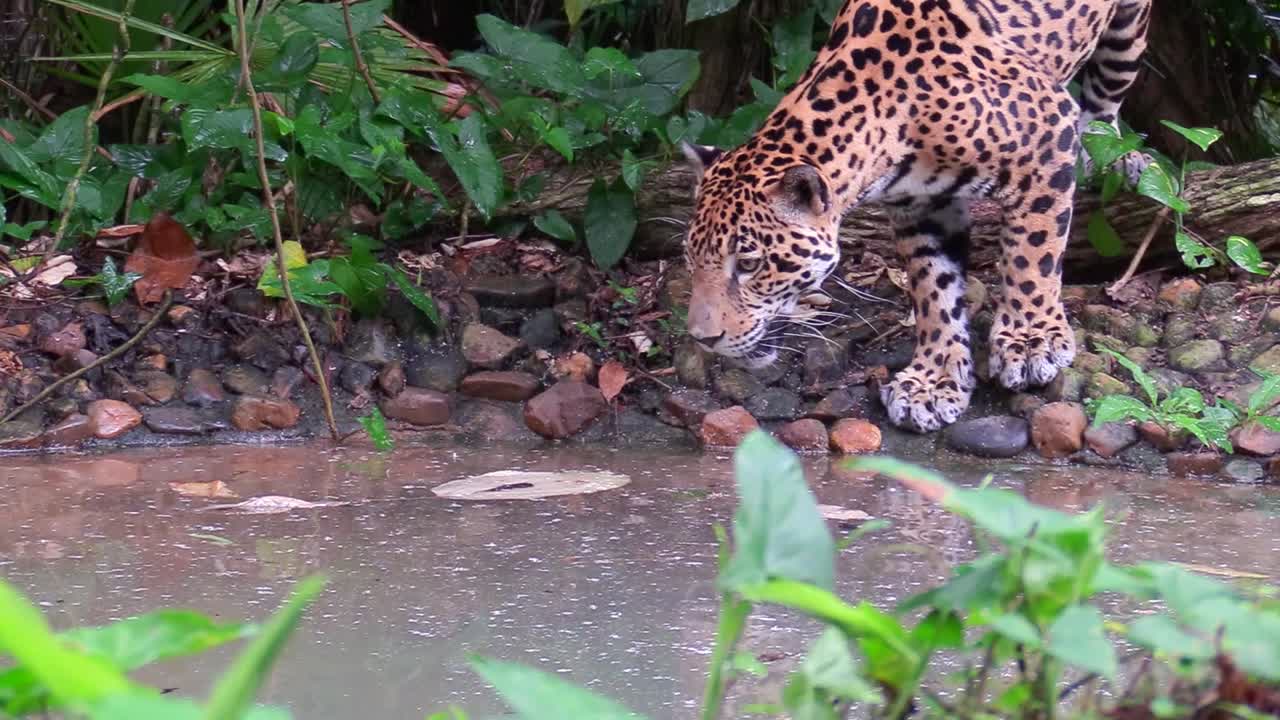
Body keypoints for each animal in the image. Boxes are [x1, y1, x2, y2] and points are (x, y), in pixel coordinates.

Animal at [681, 0, 1152, 433]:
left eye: (748, 265)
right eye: (690, 261)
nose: (704, 339)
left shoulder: (1048, 134)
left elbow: (1032, 252)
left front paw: (1031, 340)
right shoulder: (921, 207)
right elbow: (934, 289)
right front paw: (933, 381)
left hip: (1126, 35)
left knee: (1106, 103)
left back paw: (1117, 158)